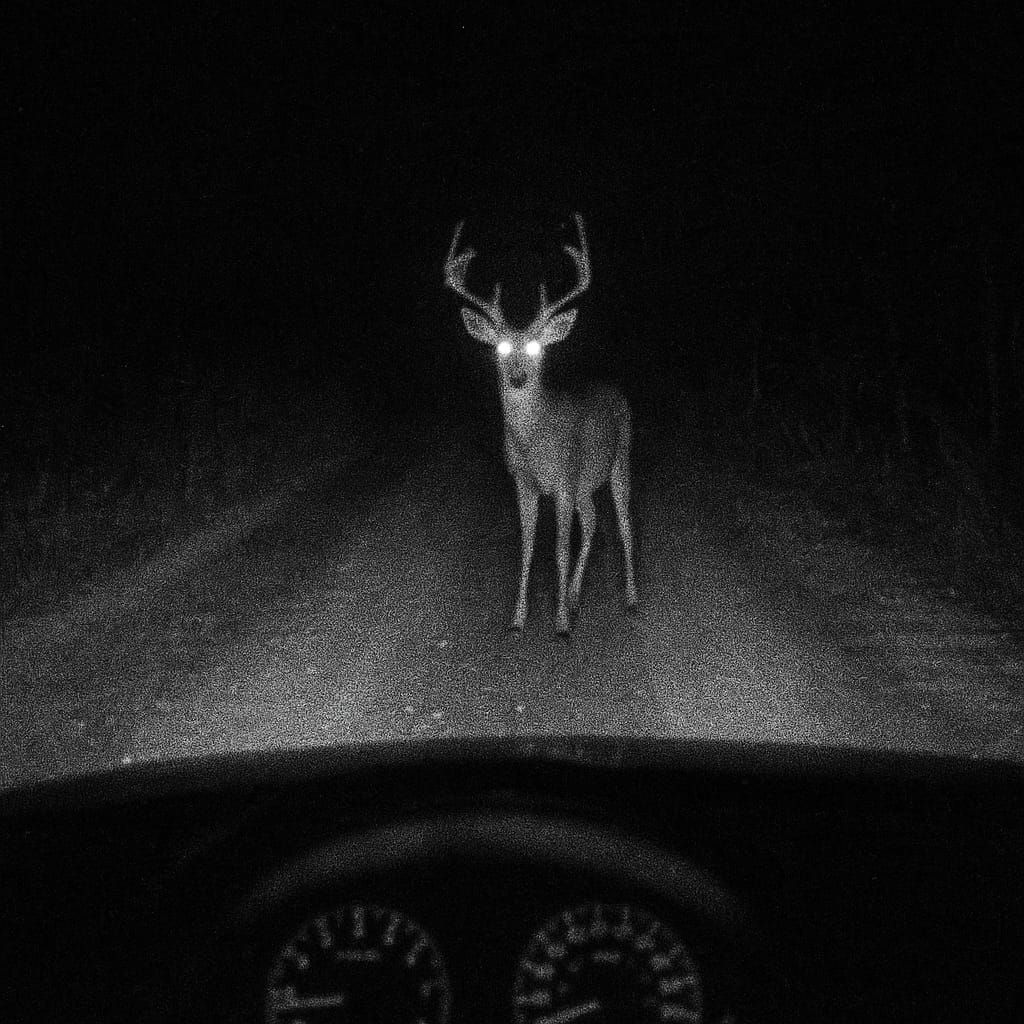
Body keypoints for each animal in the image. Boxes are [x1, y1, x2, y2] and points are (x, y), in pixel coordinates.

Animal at [443, 213, 638, 636]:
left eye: (535, 347)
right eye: (501, 347)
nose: (517, 377)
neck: (535, 443)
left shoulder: (564, 479)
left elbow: (560, 548)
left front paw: (560, 623)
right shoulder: (524, 482)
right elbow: (528, 546)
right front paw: (519, 618)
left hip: (620, 459)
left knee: (624, 523)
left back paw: (630, 599)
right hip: (585, 482)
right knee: (594, 521)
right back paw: (576, 598)